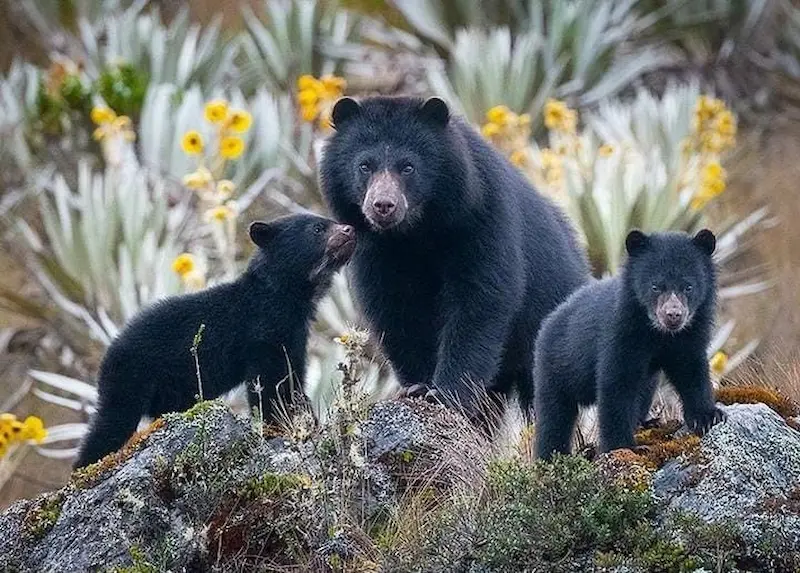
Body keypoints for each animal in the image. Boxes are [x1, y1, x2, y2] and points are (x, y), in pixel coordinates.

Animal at [74, 214, 355, 468]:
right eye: (317, 228)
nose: (350, 229)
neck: (287, 296)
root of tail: (108, 356)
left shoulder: (295, 334)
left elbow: (292, 376)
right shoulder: (263, 332)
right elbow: (269, 382)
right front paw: (278, 425)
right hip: (131, 380)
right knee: (111, 423)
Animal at [318, 95, 590, 424]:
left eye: (407, 167)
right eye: (364, 166)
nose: (383, 205)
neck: (414, 233)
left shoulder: (481, 219)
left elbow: (480, 298)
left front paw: (446, 393)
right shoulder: (377, 253)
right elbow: (396, 310)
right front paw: (417, 386)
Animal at [533, 229, 725, 459]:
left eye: (688, 287)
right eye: (655, 286)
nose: (673, 315)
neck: (658, 334)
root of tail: (548, 320)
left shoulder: (689, 336)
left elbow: (691, 371)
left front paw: (708, 417)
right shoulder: (621, 334)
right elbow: (617, 385)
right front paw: (623, 446)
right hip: (556, 367)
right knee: (554, 415)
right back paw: (551, 456)